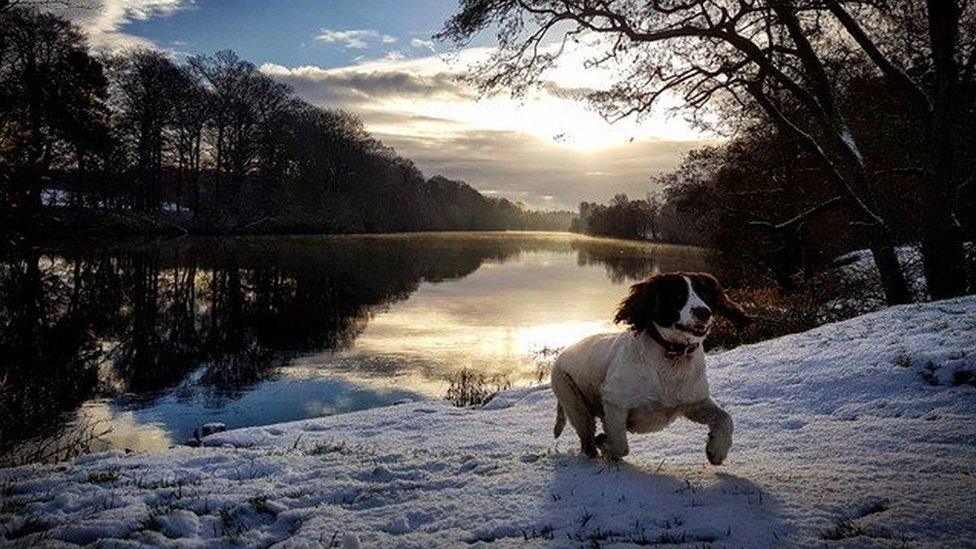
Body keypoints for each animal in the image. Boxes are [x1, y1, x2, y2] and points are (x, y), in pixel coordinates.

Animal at [552, 270, 752, 462]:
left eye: (705, 294)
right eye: (677, 296)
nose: (704, 312)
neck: (672, 356)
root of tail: (564, 352)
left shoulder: (694, 403)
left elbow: (725, 418)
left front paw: (717, 451)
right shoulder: (615, 403)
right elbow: (621, 446)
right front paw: (606, 446)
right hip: (575, 403)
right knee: (588, 443)